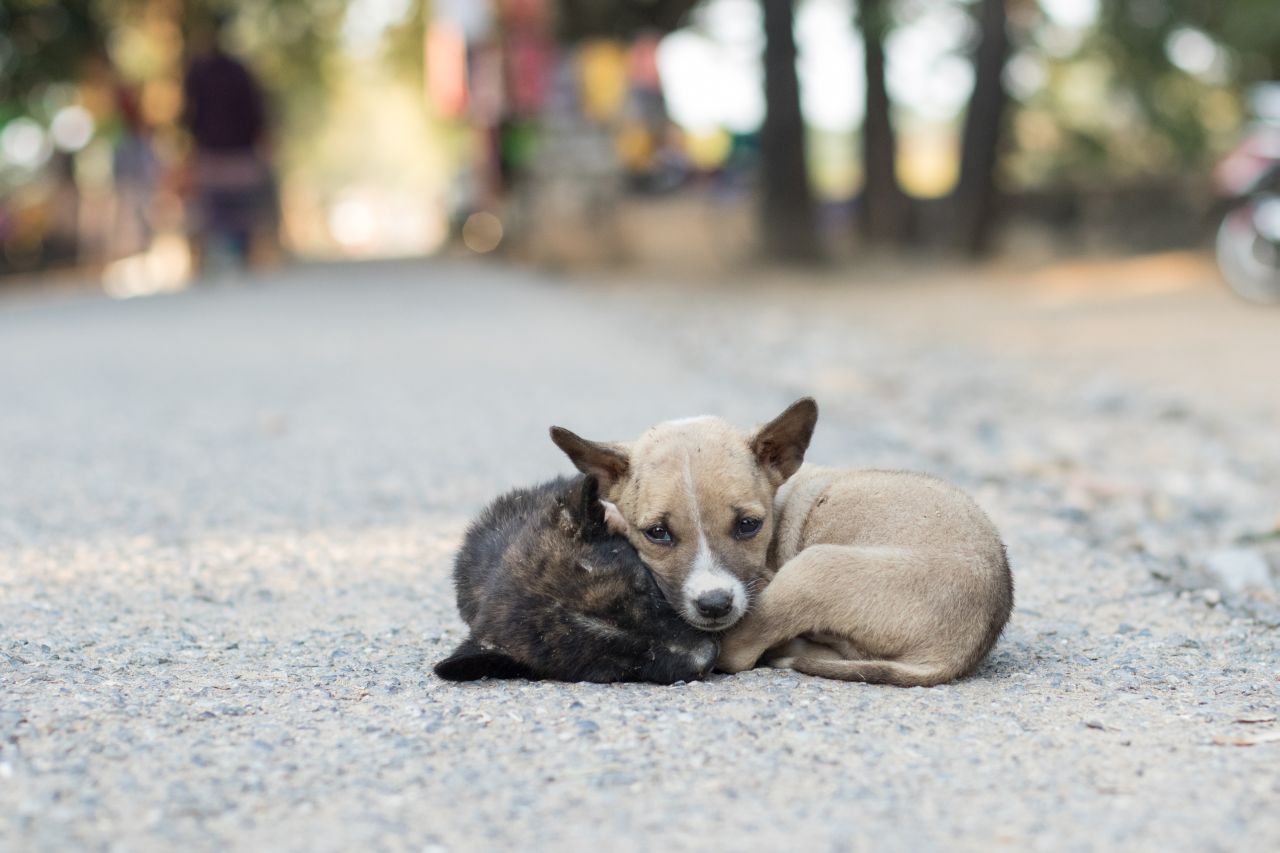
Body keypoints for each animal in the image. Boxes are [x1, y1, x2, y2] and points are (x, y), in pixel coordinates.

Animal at [550, 398, 1013, 687]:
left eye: (748, 525)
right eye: (657, 533)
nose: (715, 605)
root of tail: (956, 651)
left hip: (815, 567)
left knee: (739, 651)